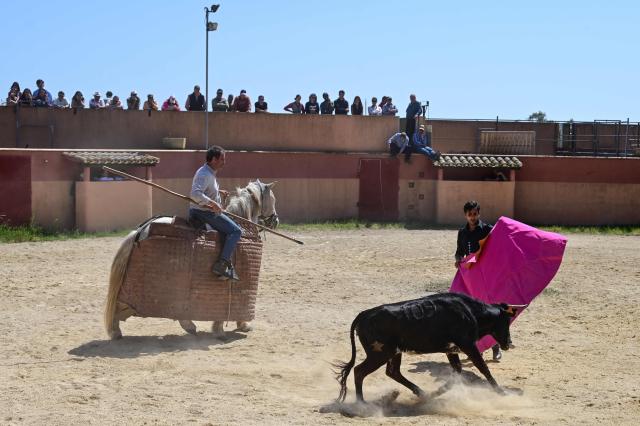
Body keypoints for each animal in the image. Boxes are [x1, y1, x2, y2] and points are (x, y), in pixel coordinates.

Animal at [334, 292, 524, 402]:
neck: (470, 311)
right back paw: (361, 404)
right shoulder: (468, 345)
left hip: (394, 353)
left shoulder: (451, 349)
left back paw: (422, 393)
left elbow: (457, 371)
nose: (508, 343)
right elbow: (483, 368)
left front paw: (437, 393)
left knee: (393, 372)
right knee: (359, 371)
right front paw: (501, 392)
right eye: (506, 321)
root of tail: (364, 314)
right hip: (379, 354)